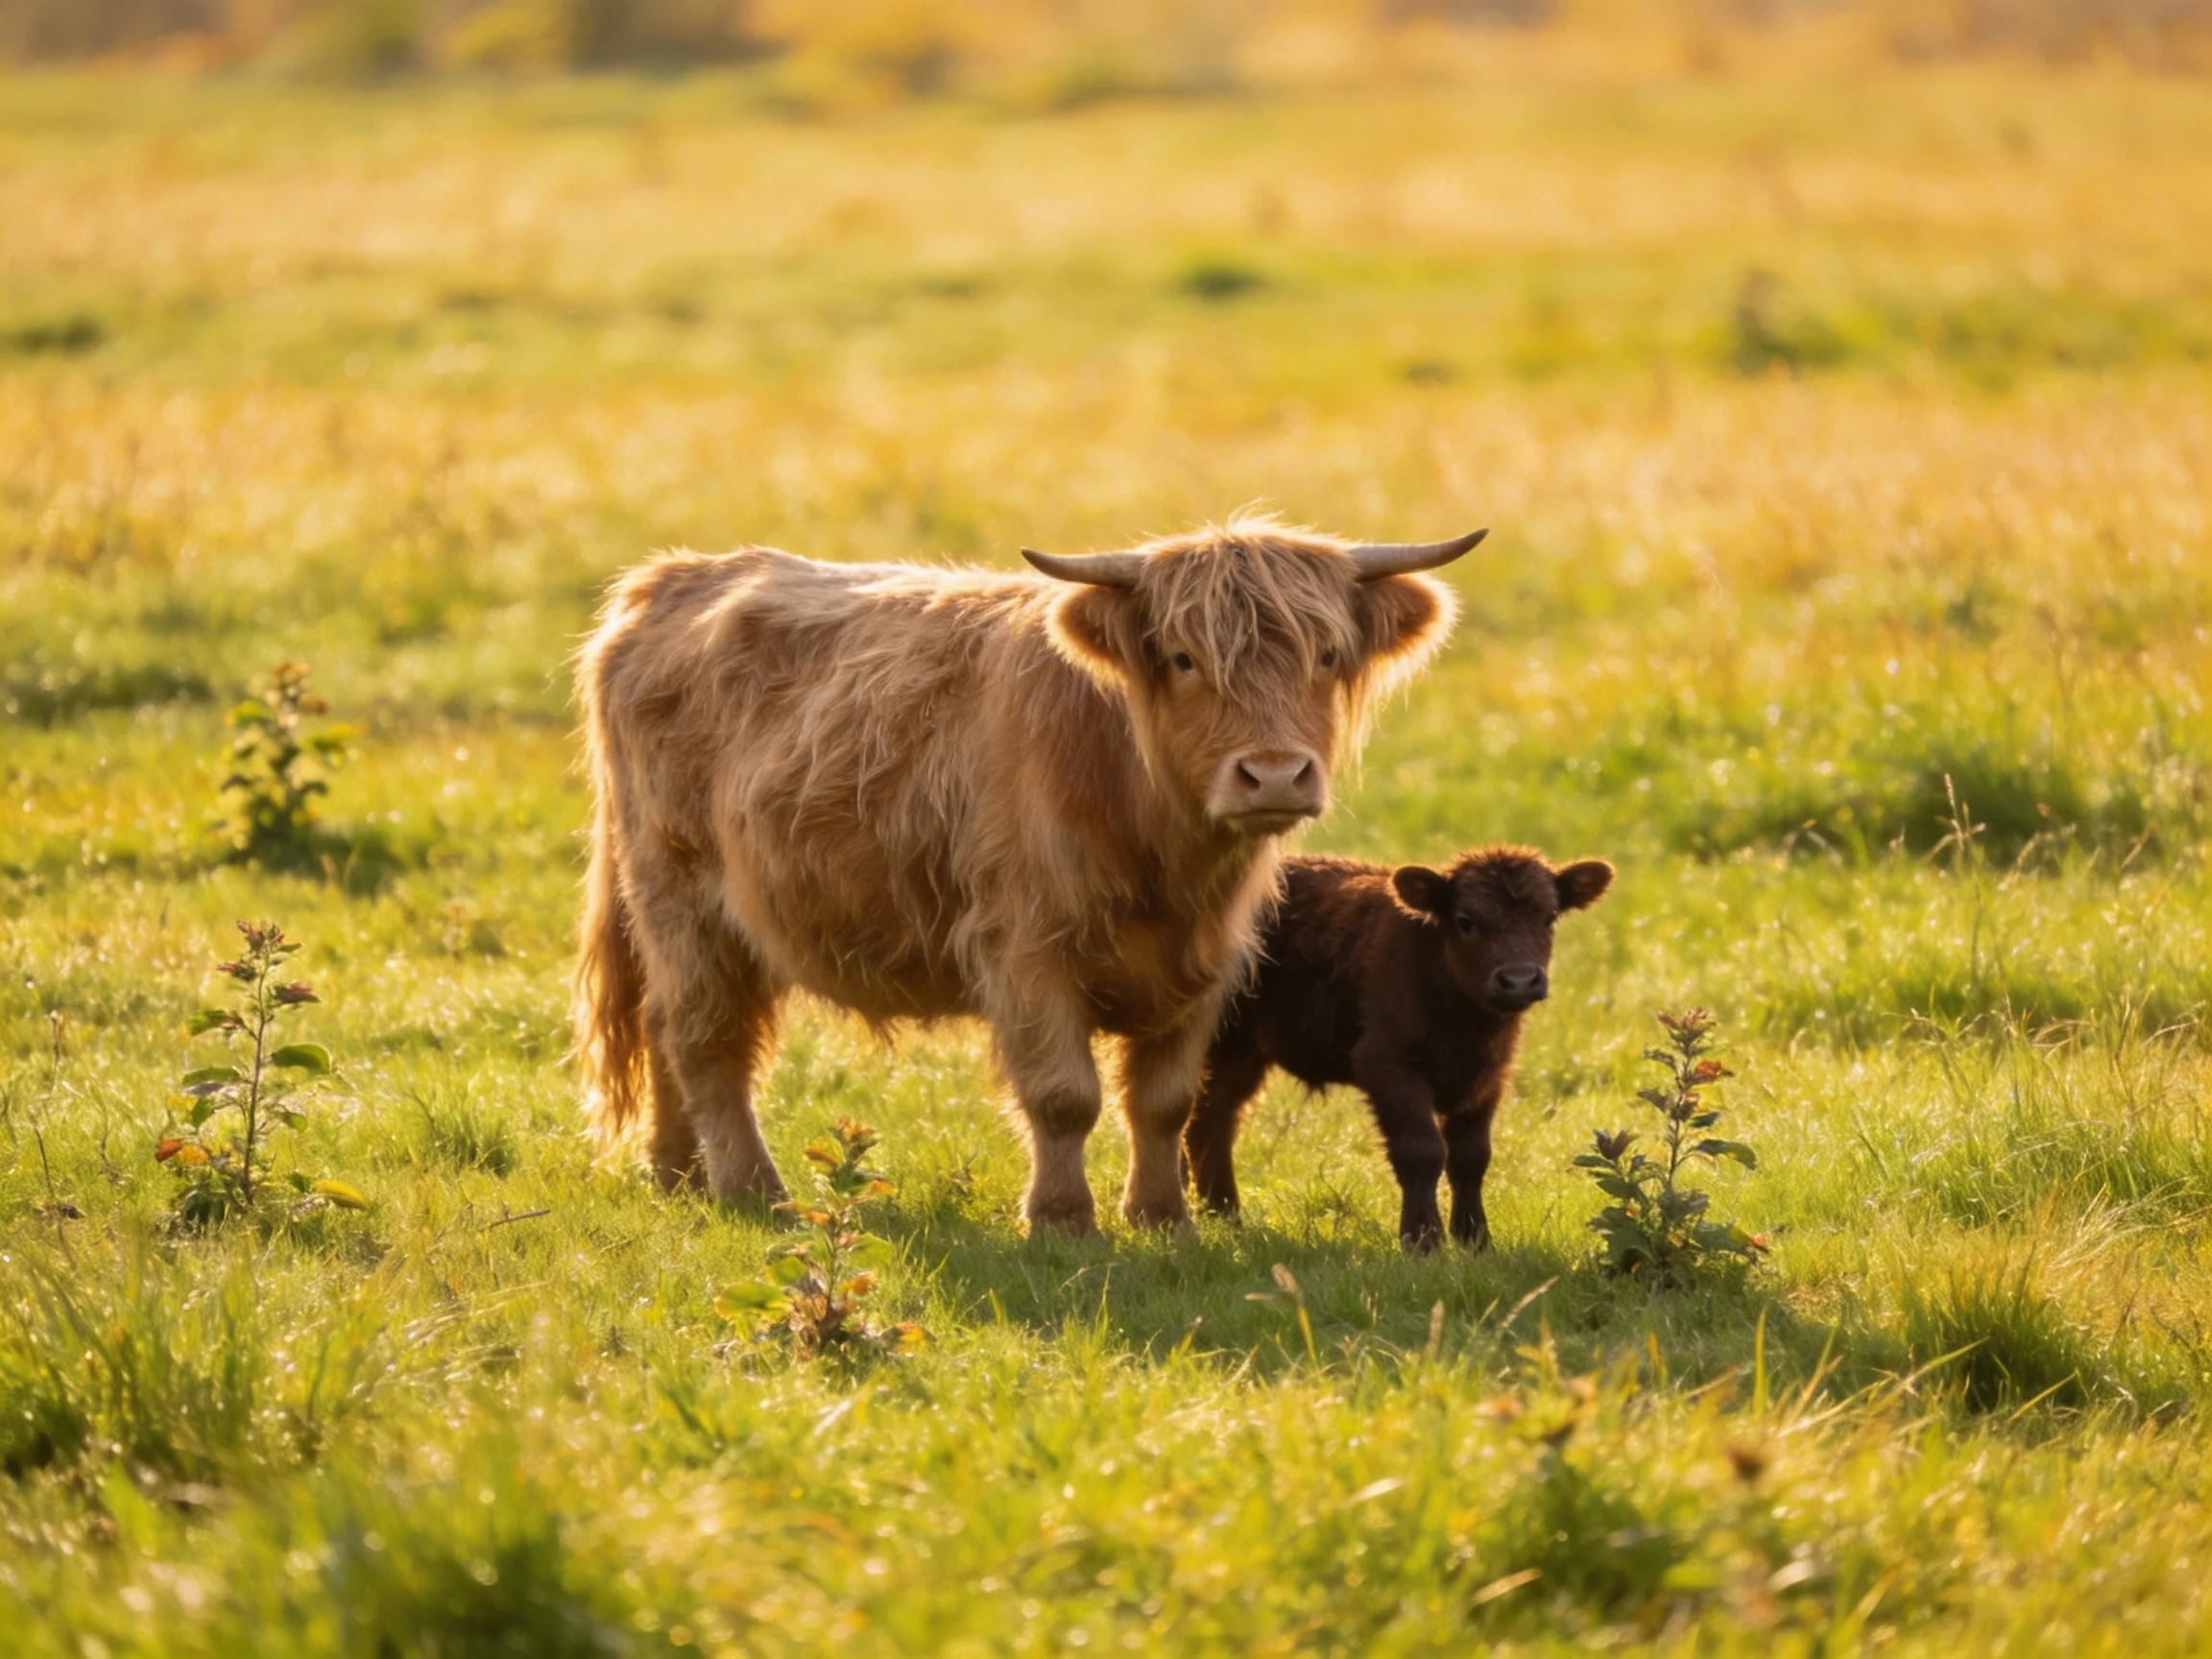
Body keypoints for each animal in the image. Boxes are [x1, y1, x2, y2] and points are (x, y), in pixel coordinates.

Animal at [570, 517, 1480, 1235]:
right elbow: (1063, 1095)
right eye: (1183, 659)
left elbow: (1164, 1100)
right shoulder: (1026, 953)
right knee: (705, 1038)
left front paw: (1162, 1219)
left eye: (1326, 655)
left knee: (662, 1027)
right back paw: (753, 1191)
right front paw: (1063, 1221)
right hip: (684, 896)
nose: (1275, 774)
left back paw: (676, 1175)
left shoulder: (1208, 962)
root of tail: (674, 576)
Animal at [1184, 846, 1614, 1250]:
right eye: (1466, 920)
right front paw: (1423, 1241)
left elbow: (1471, 1157)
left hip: (1243, 1055)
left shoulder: (1489, 1079)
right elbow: (1422, 1151)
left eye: (1549, 917)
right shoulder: (1389, 1069)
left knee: (1215, 1118)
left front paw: (1476, 1240)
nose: (1519, 980)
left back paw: (1223, 1215)